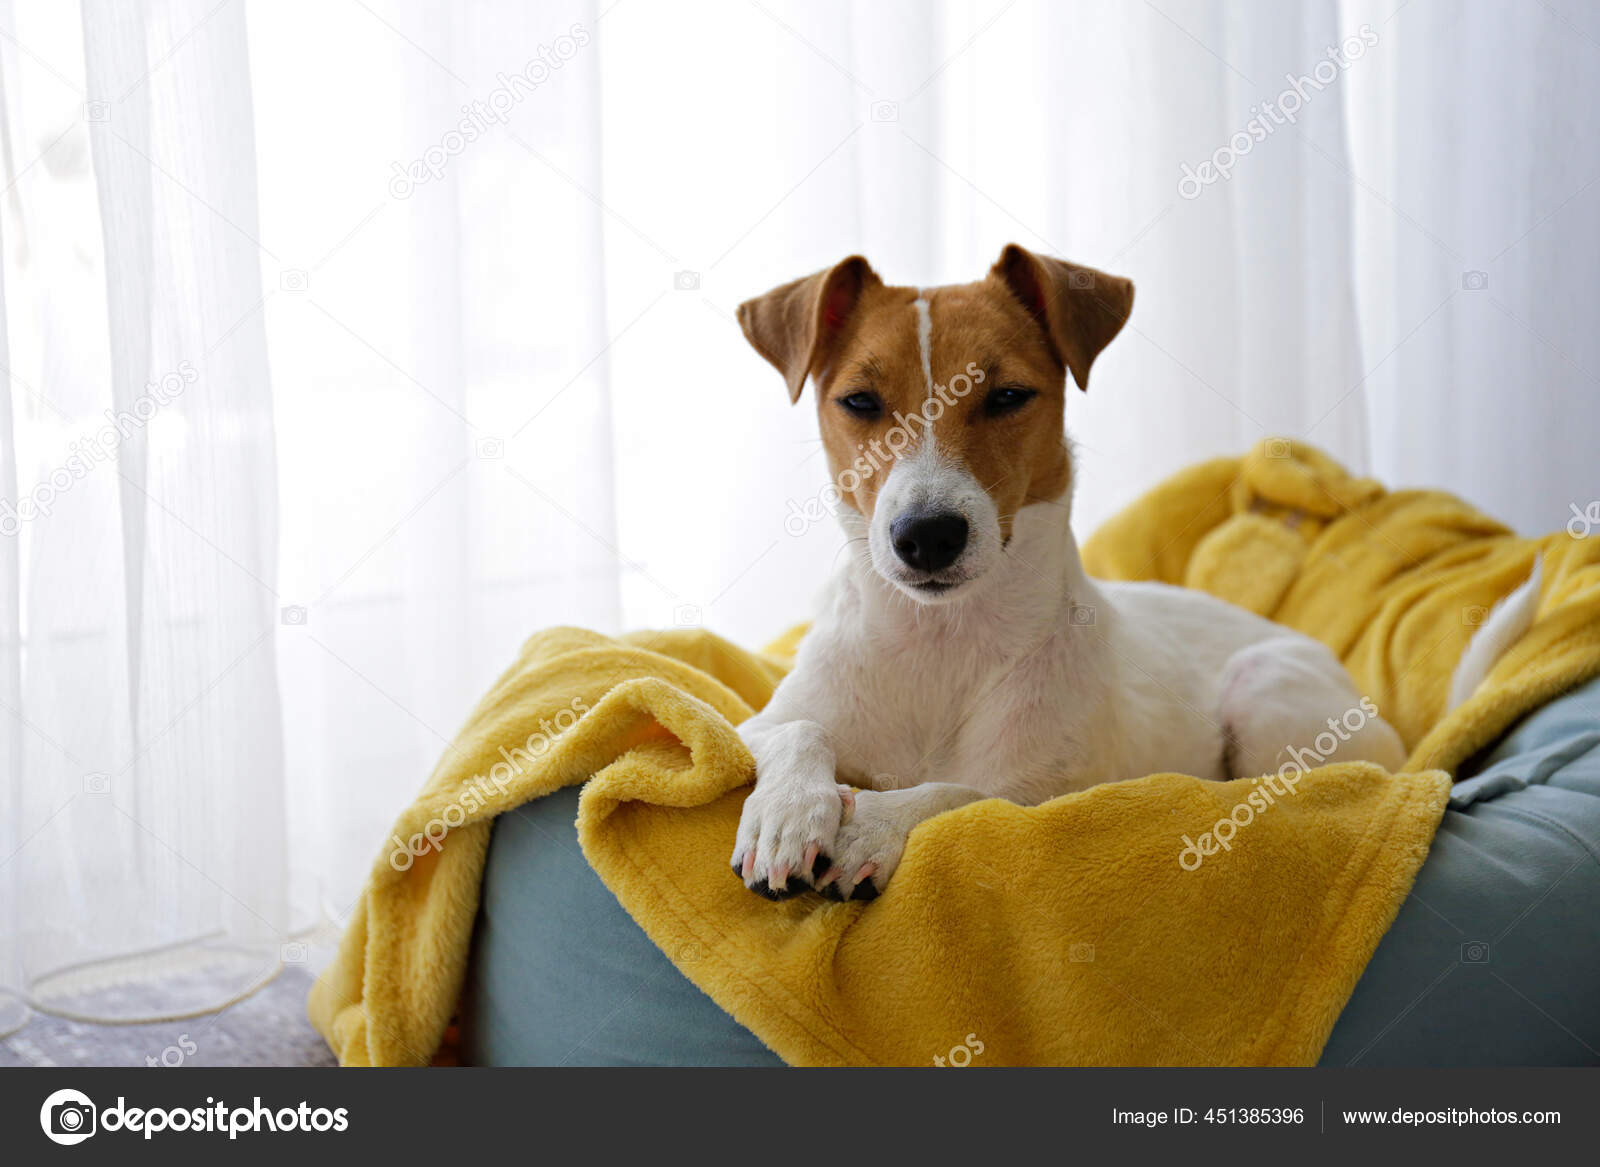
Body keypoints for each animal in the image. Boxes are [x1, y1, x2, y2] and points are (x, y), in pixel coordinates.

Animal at [732, 246, 1516, 902]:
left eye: (1007, 396)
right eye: (860, 402)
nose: (926, 536)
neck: (939, 641)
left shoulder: (1049, 797)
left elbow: (955, 790)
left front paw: (872, 823)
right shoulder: (750, 724)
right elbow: (797, 731)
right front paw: (788, 812)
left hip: (1267, 691)